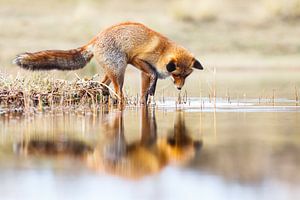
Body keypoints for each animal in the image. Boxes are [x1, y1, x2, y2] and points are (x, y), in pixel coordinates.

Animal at [12, 21, 203, 104]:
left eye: (186, 76)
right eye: (176, 74)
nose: (179, 88)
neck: (163, 51)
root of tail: (95, 39)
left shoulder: (143, 73)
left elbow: (144, 94)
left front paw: (145, 102)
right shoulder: (138, 59)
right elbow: (154, 74)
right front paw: (152, 89)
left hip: (112, 71)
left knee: (102, 85)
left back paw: (102, 94)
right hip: (120, 70)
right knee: (119, 93)